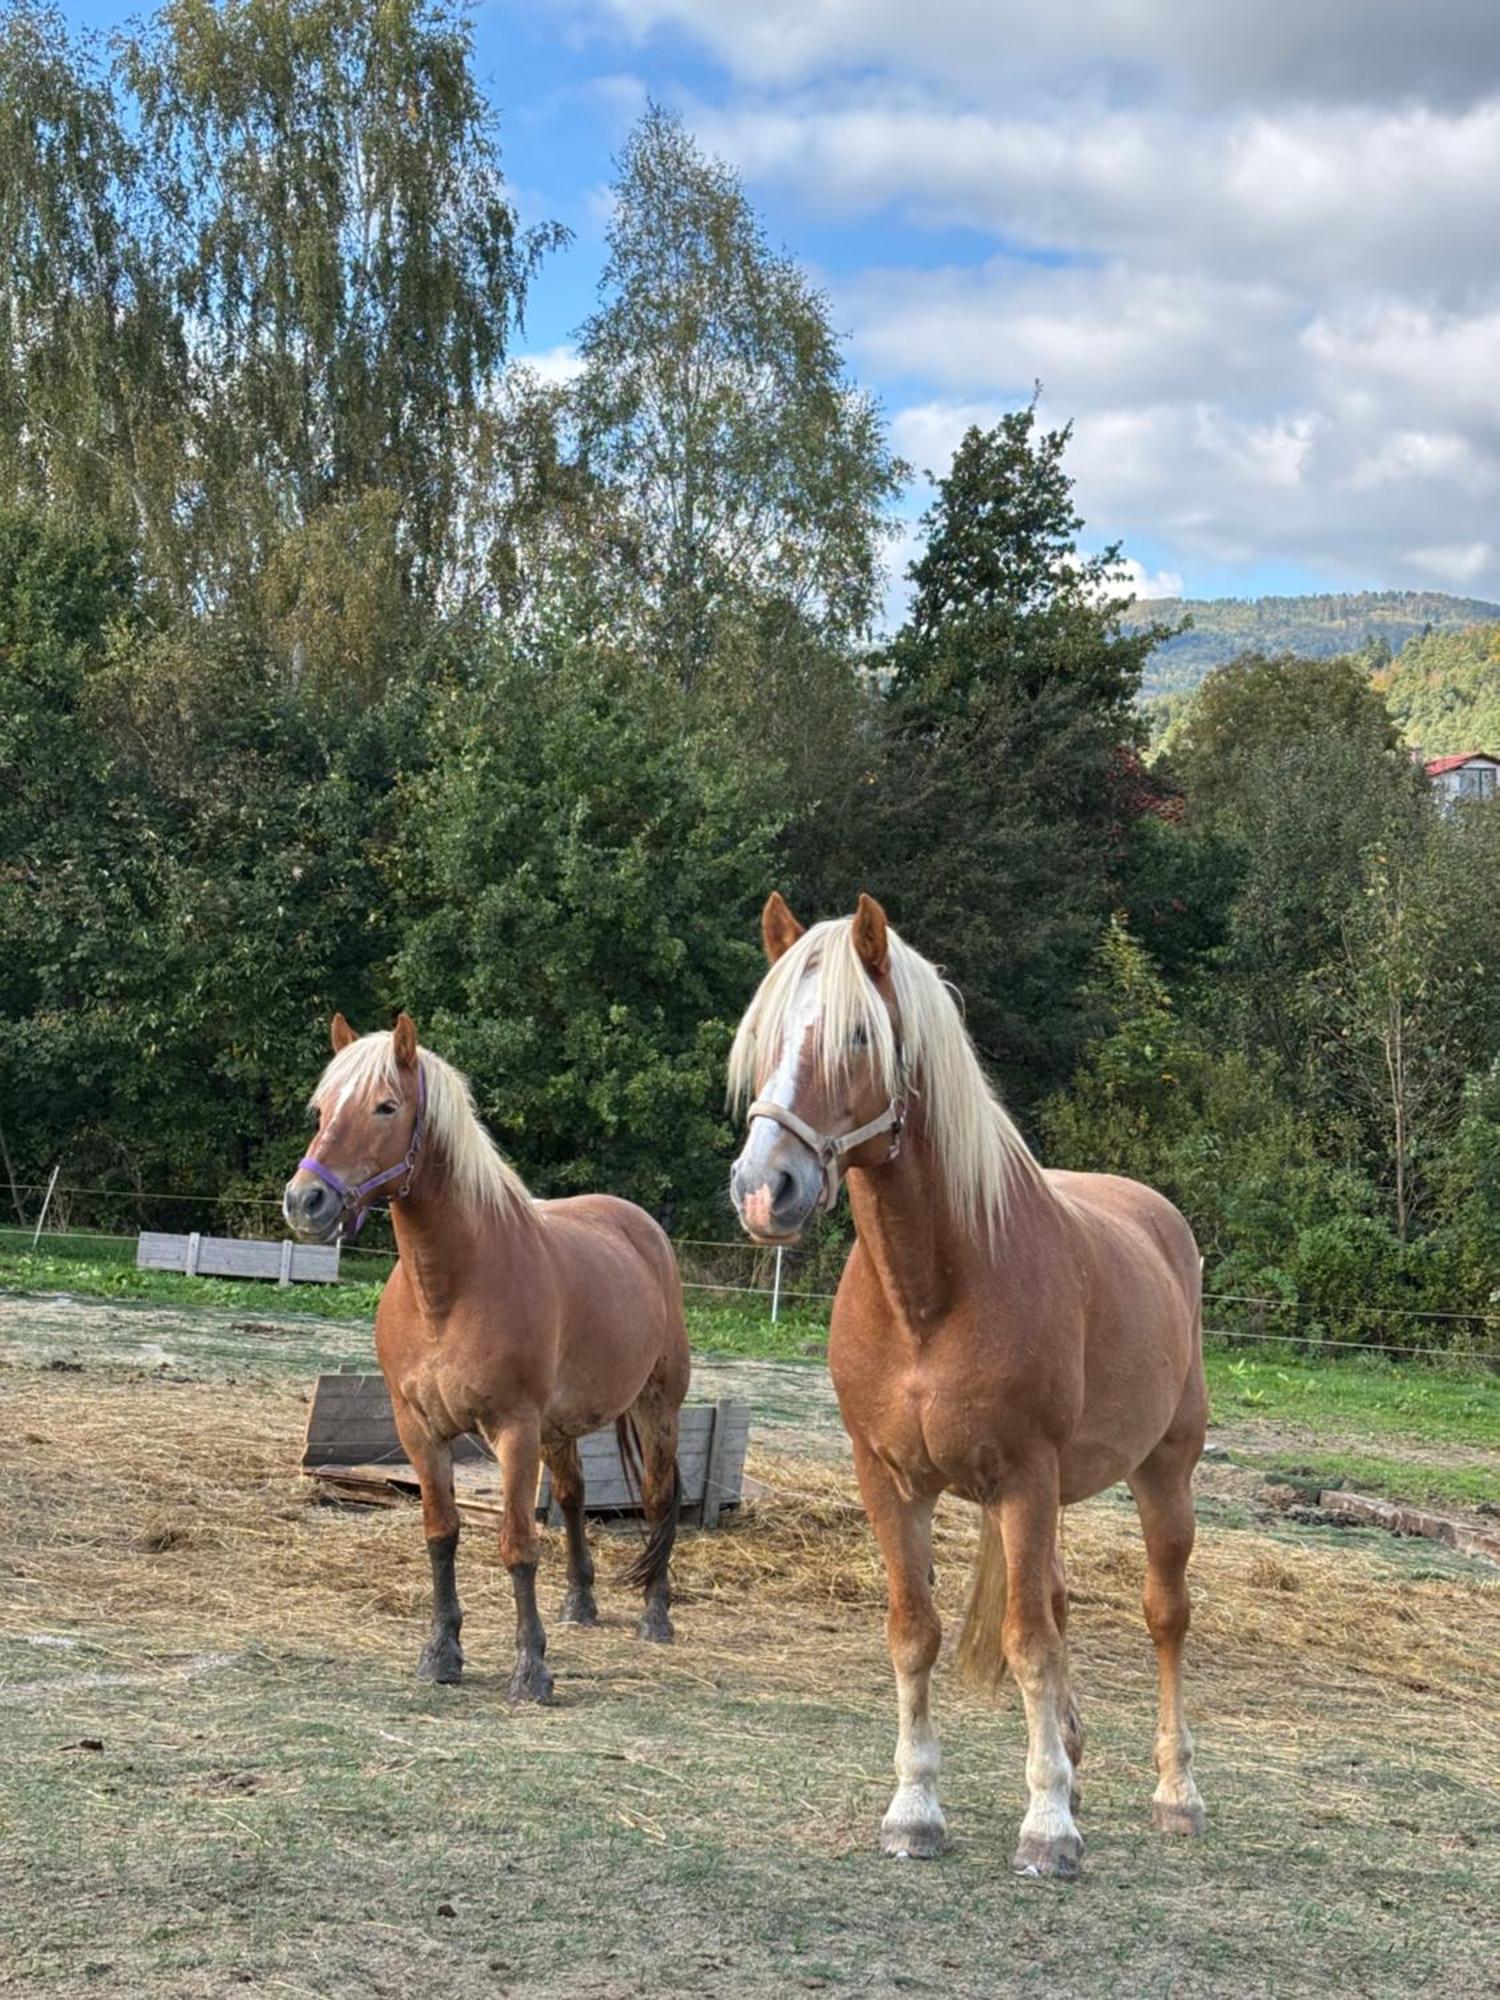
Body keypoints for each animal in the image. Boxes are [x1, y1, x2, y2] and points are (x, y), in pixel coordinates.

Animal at [284, 1016, 692, 1704]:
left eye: (386, 1106)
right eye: (321, 1108)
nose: (305, 1200)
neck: (449, 1290)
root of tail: (641, 1227)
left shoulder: (514, 1431)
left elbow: (518, 1545)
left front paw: (531, 1670)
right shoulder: (420, 1431)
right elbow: (441, 1533)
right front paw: (441, 1652)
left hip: (655, 1407)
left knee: (660, 1499)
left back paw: (655, 1616)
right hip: (562, 1428)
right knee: (575, 1498)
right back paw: (580, 1603)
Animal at [728, 900, 1208, 1880]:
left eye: (860, 1036)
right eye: (761, 1034)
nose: (765, 1190)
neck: (934, 1293)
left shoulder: (1024, 1480)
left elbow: (1029, 1644)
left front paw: (1048, 1829)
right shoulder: (890, 1481)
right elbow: (917, 1633)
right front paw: (915, 1811)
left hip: (1163, 1474)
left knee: (1164, 1616)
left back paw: (1176, 1793)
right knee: (1057, 1605)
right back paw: (1072, 1764)